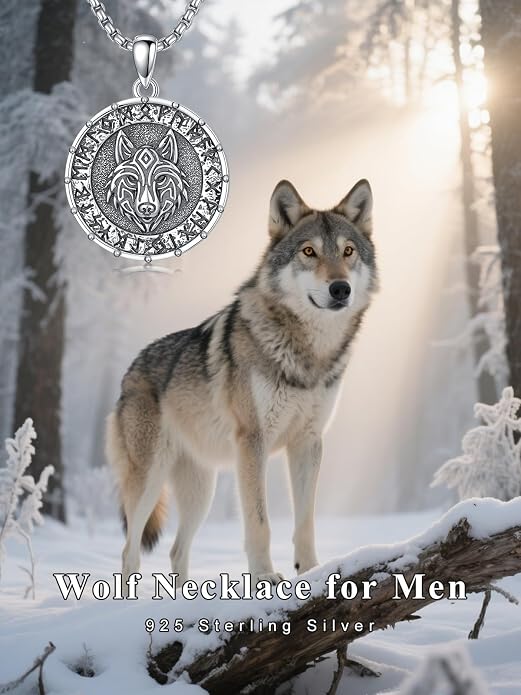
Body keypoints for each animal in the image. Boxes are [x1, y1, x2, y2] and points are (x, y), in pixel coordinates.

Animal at [106, 178, 378, 585]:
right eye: (309, 252)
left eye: (348, 252)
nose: (340, 288)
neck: (307, 355)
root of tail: (129, 371)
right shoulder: (253, 442)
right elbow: (259, 523)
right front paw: (265, 577)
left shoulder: (308, 442)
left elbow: (306, 521)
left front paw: (312, 571)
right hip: (149, 481)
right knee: (128, 552)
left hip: (201, 491)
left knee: (175, 550)